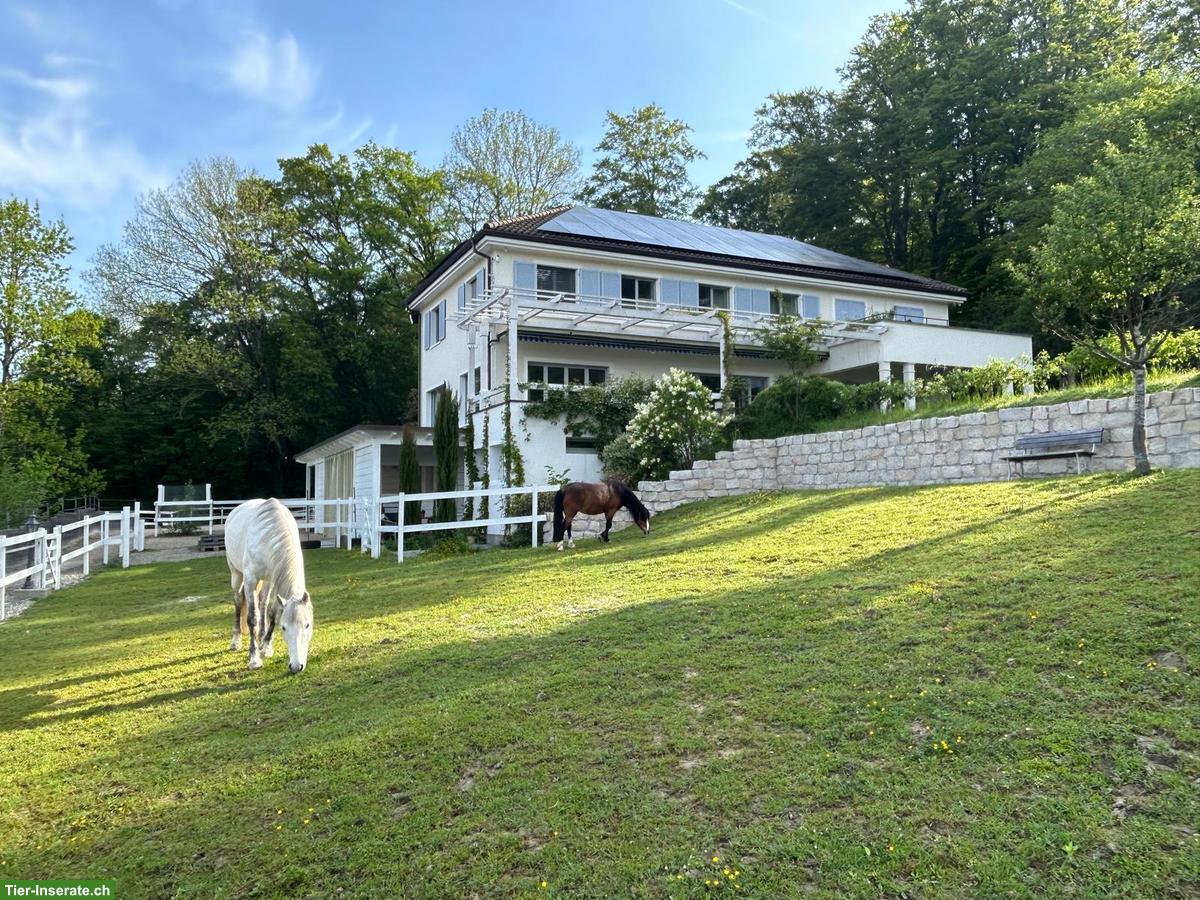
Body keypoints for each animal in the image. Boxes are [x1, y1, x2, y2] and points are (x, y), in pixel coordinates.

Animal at [224, 498, 314, 673]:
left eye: (307, 625)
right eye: (284, 628)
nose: (296, 666)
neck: (268, 536)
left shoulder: (273, 578)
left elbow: (272, 611)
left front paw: (266, 647)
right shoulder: (250, 579)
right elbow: (252, 618)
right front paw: (254, 659)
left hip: (265, 581)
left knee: (262, 603)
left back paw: (261, 638)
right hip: (236, 574)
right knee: (238, 602)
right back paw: (236, 641)